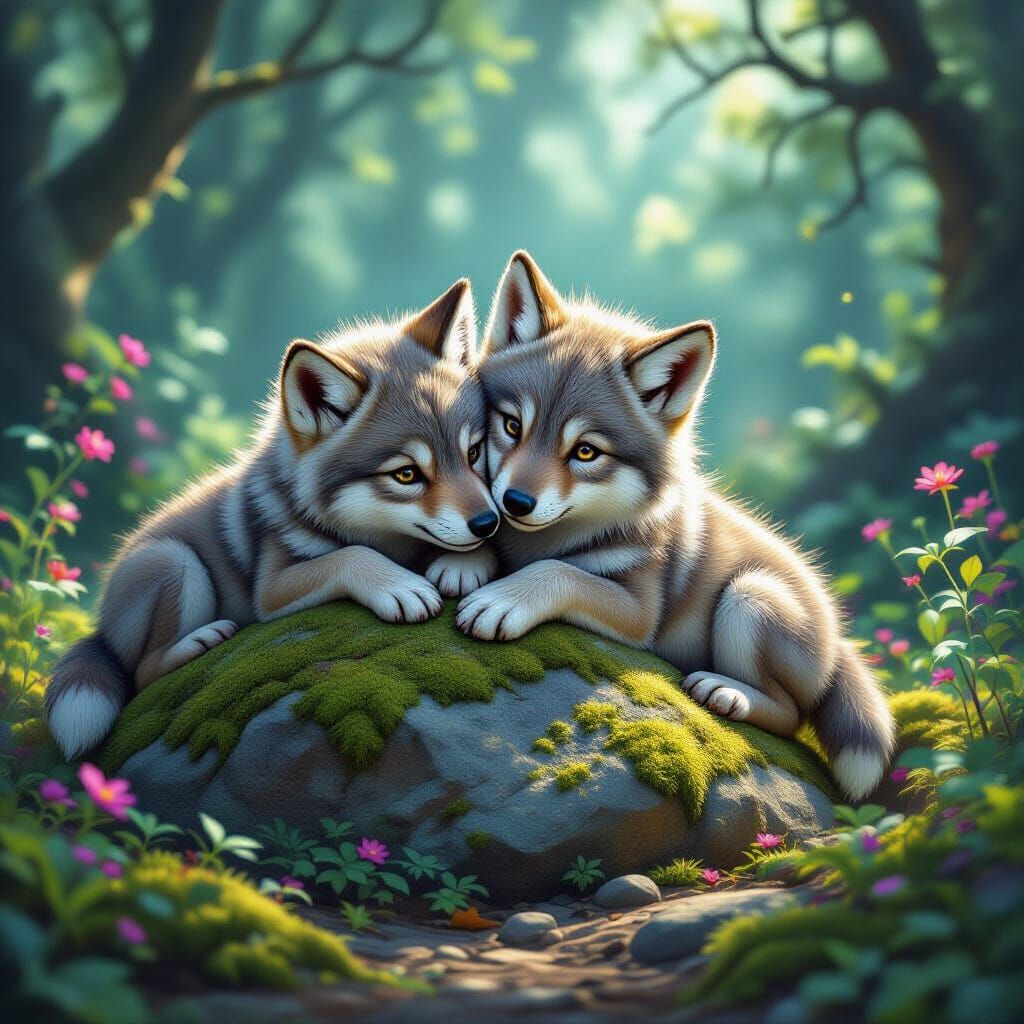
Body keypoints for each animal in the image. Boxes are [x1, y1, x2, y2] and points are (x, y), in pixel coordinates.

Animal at [46, 279, 500, 759]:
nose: (487, 522)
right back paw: (200, 640)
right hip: (175, 562)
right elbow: (349, 557)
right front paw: (400, 586)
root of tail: (100, 626)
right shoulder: (271, 589)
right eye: (407, 474)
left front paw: (464, 563)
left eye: (473, 453)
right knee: (142, 673)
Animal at [457, 251, 895, 800]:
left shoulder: (640, 614)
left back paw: (726, 692)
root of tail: (839, 644)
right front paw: (462, 563)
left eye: (586, 452)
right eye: (512, 426)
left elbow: (559, 573)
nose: (515, 501)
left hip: (749, 596)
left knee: (792, 717)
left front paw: (503, 599)